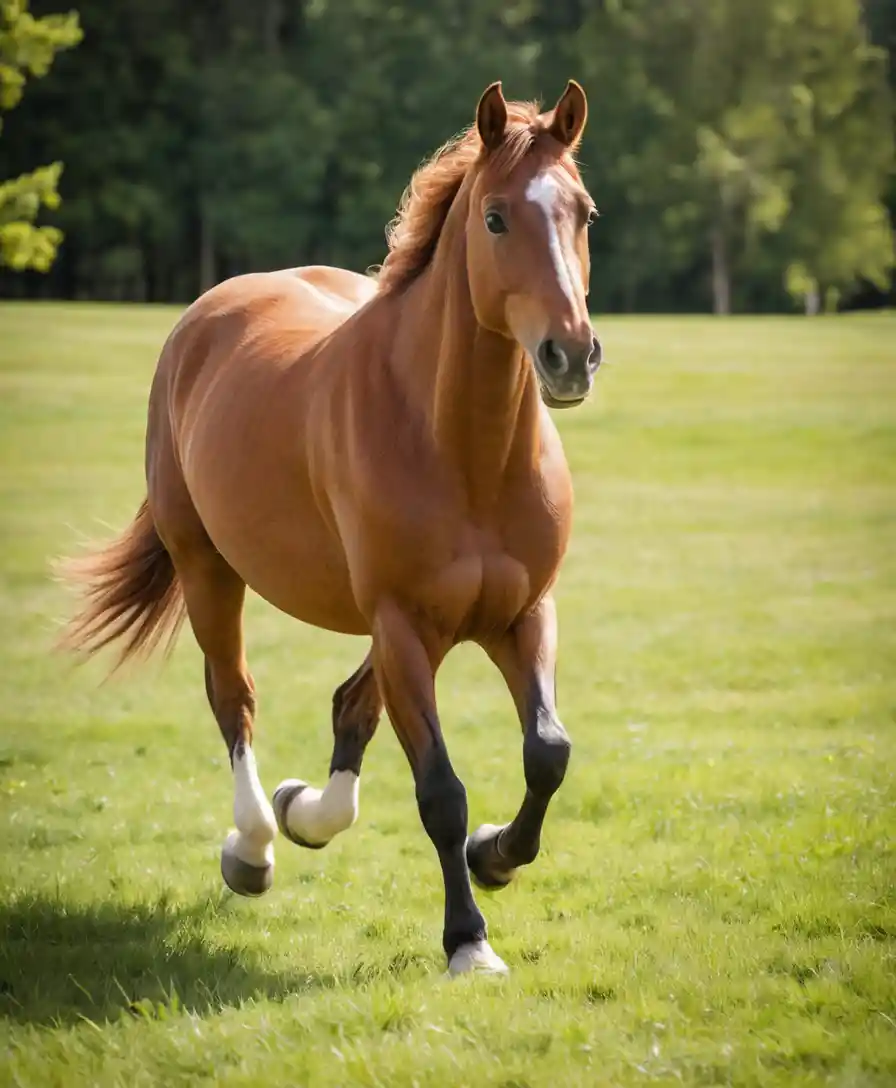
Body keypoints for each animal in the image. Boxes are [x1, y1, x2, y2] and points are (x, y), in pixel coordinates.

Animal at [59, 79, 601, 977]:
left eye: (583, 213)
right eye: (495, 218)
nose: (571, 354)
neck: (463, 449)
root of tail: (210, 311)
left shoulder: (521, 614)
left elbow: (547, 753)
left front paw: (495, 857)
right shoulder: (403, 624)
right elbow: (440, 791)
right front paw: (467, 940)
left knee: (352, 704)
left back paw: (304, 811)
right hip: (210, 570)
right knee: (234, 697)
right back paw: (253, 846)